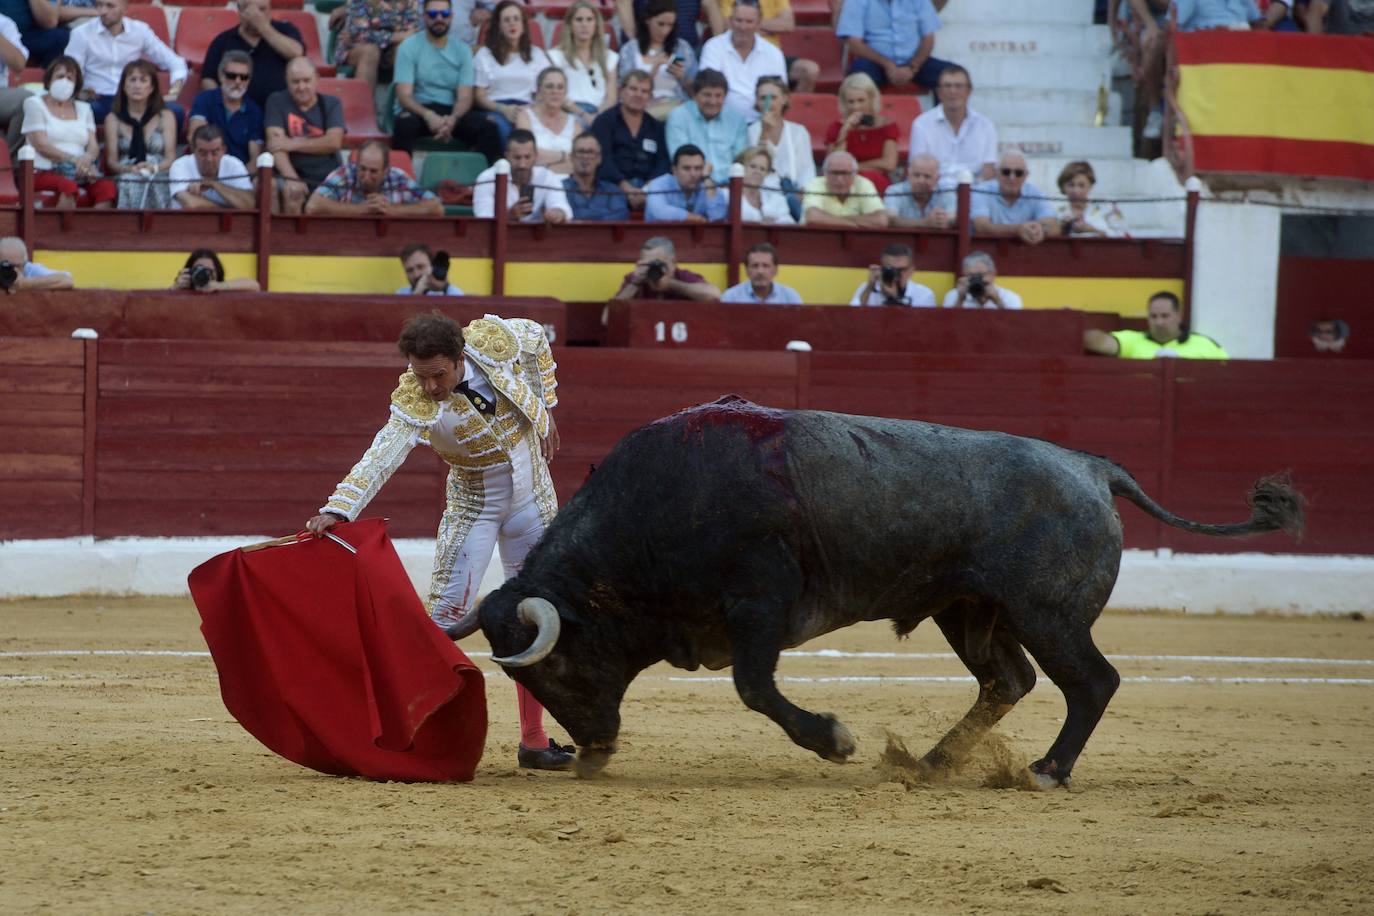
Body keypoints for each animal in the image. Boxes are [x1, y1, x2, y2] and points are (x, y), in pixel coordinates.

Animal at [447, 395, 1297, 791]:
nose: (591, 751)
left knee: (1091, 681)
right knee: (1008, 680)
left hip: (1047, 615)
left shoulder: (760, 601)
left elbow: (755, 687)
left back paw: (1044, 771)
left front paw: (834, 740)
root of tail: (1093, 467)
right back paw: (927, 763)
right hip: (970, 611)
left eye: (554, 667)